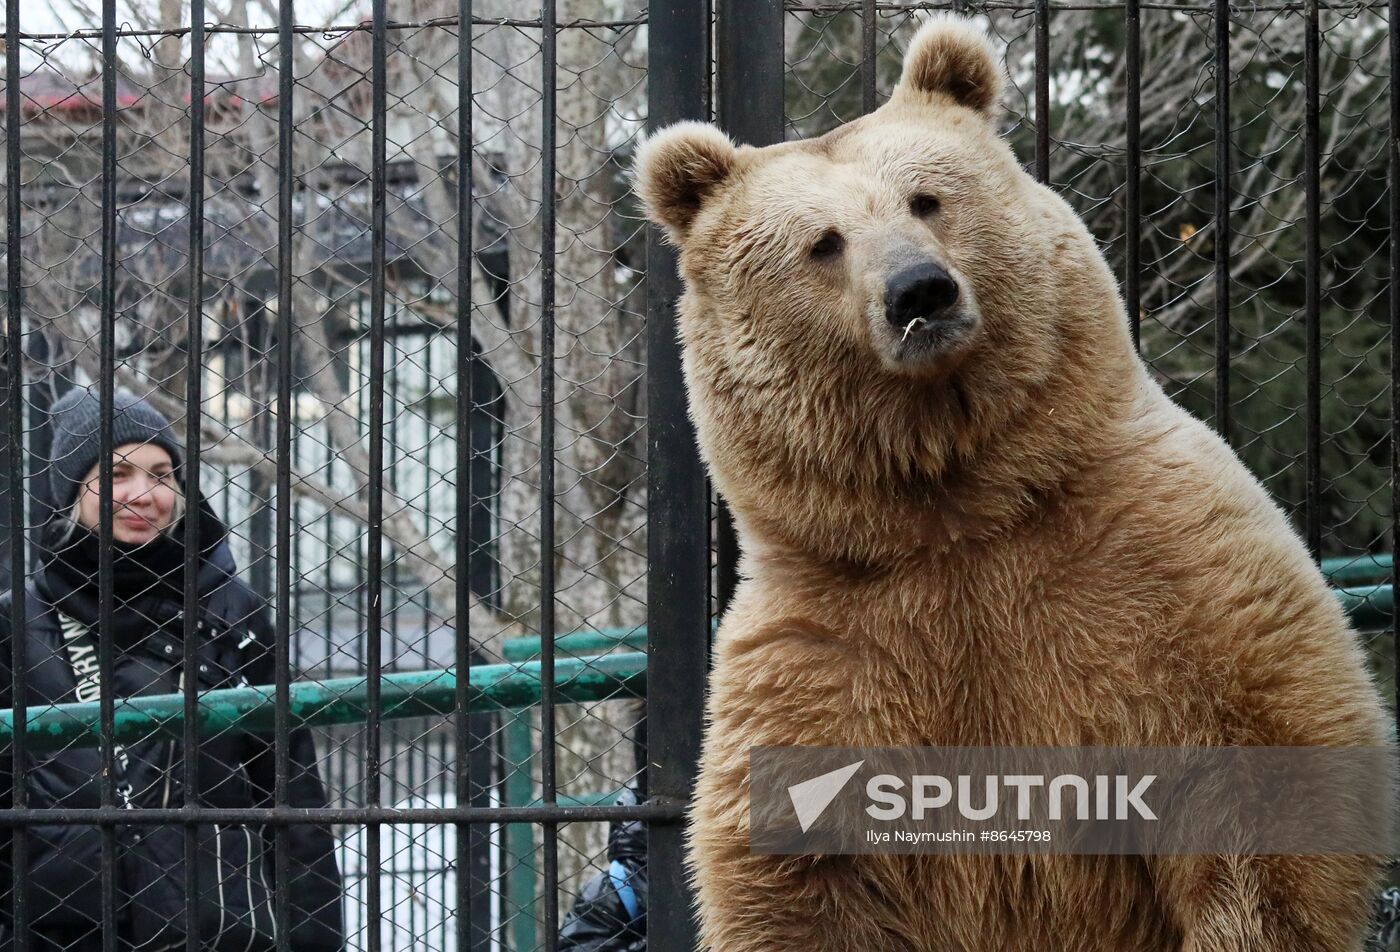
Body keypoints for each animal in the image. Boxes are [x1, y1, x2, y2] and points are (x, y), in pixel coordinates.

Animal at [641, 14, 1394, 952]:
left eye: (927, 198)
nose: (919, 291)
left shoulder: (1173, 573)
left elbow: (1264, 787)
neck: (958, 503)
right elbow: (802, 882)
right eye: (822, 242)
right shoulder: (823, 658)